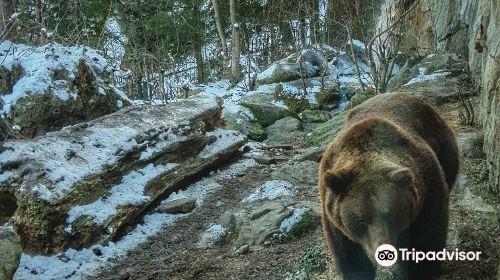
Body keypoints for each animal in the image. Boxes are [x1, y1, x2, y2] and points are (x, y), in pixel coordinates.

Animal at [320, 92, 458, 280]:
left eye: (390, 213)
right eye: (362, 219)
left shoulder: (426, 189)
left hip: (444, 150)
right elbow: (351, 257)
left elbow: (425, 241)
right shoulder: (333, 212)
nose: (383, 251)